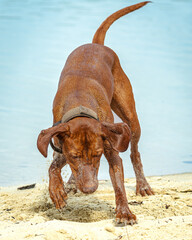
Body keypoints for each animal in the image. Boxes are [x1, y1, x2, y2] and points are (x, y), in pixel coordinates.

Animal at [37, 0, 154, 225]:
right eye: (75, 156)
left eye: (98, 154)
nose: (90, 189)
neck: (80, 101)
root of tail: (96, 44)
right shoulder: (60, 141)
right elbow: (53, 166)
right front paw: (57, 190)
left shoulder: (110, 148)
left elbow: (119, 185)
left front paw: (124, 212)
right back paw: (70, 183)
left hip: (131, 119)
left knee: (134, 152)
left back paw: (143, 185)